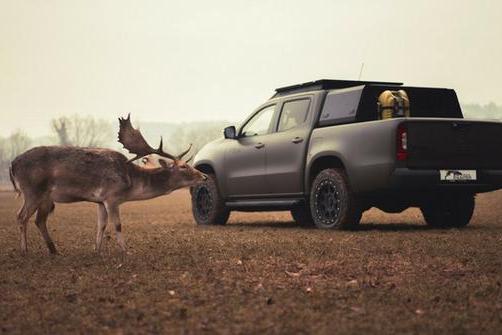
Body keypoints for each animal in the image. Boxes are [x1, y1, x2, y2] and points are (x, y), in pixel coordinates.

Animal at [9, 114, 206, 256]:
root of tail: (13, 164)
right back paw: (24, 251)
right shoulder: (112, 197)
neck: (131, 182)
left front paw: (97, 250)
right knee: (21, 216)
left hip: (45, 198)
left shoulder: (100, 201)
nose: (204, 176)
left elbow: (101, 225)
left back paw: (54, 250)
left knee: (39, 220)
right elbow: (117, 224)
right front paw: (126, 251)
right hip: (32, 190)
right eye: (183, 166)